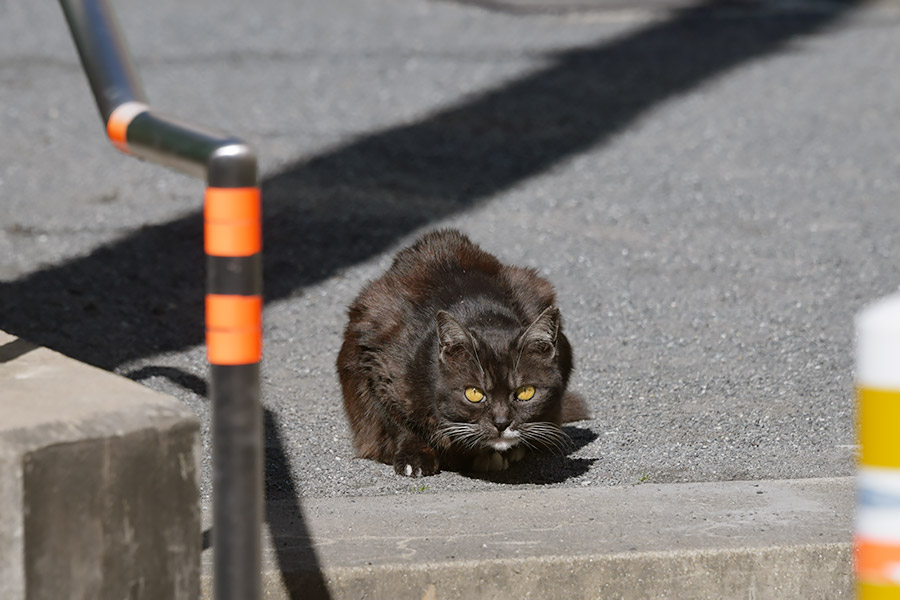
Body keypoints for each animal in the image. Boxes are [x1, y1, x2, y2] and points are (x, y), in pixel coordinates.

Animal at [334, 227, 588, 476]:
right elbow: (395, 419)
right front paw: (413, 456)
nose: (501, 422)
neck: (483, 314)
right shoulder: (375, 354)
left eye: (526, 392)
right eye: (474, 394)